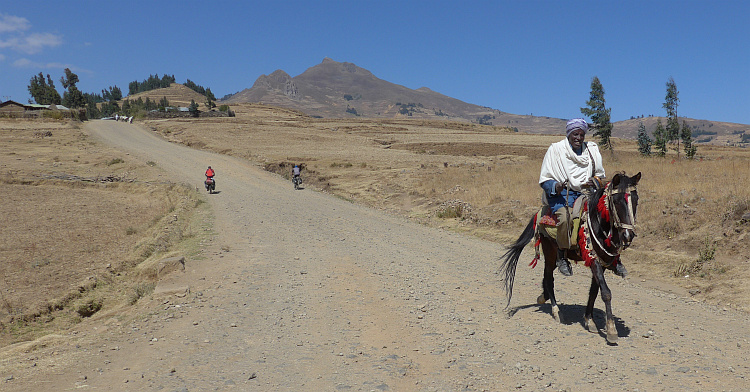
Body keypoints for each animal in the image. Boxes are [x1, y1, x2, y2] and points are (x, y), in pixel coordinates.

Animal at [502, 172, 644, 344]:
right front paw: (611, 330)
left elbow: (594, 291)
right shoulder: (593, 259)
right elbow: (606, 293)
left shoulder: (602, 262)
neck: (598, 223)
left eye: (636, 199)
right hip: (549, 253)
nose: (628, 236)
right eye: (616, 201)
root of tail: (539, 213)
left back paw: (543, 297)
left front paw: (589, 320)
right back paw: (556, 311)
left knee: (546, 277)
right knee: (549, 279)